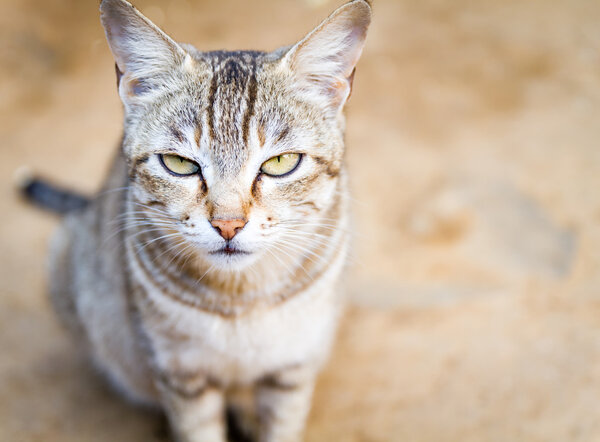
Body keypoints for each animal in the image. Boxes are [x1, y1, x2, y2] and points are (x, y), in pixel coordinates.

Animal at [27, 0, 370, 440]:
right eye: (179, 164)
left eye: (280, 163)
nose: (228, 224)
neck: (239, 298)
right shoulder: (180, 373)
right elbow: (198, 428)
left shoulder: (293, 366)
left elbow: (282, 425)